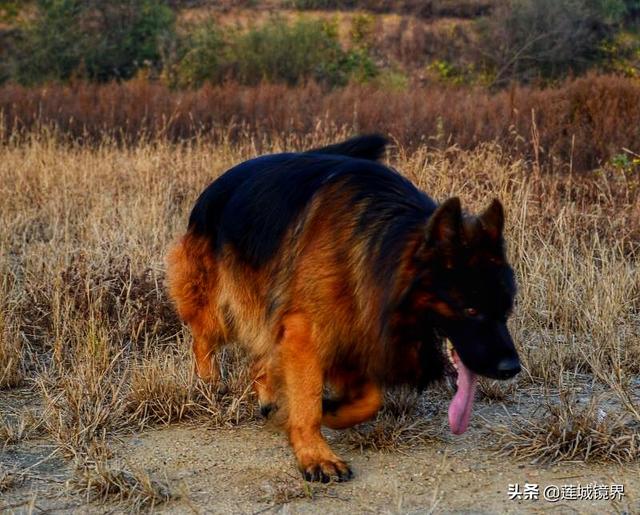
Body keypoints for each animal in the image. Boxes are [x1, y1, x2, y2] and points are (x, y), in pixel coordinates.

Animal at [166, 135, 520, 482]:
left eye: (506, 311)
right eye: (470, 310)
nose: (512, 368)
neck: (379, 249)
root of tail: (219, 183)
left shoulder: (352, 326)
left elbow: (369, 400)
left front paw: (330, 410)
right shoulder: (307, 331)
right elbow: (308, 398)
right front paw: (316, 455)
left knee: (260, 359)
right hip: (219, 306)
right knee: (203, 339)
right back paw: (209, 382)